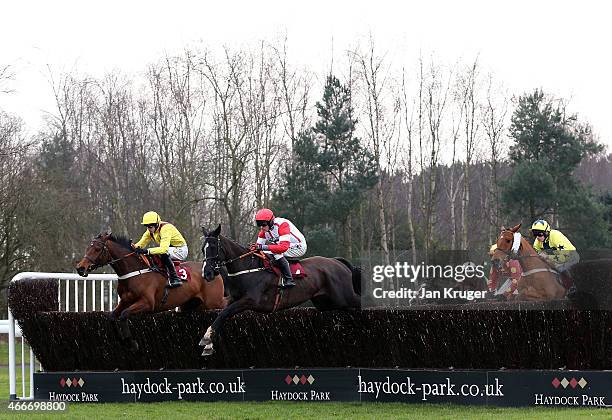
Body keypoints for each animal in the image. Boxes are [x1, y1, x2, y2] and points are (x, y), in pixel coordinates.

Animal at [75, 231, 226, 350]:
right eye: (88, 248)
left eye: (97, 249)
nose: (80, 268)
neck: (134, 272)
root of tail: (213, 270)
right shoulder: (125, 301)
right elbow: (112, 317)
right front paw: (122, 341)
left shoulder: (147, 303)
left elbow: (124, 315)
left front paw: (131, 343)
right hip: (191, 305)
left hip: (214, 302)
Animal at [198, 225, 360, 356]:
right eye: (202, 249)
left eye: (213, 247)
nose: (207, 273)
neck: (248, 268)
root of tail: (338, 262)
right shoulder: (233, 299)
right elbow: (221, 314)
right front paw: (209, 344)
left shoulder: (250, 300)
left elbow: (224, 313)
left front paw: (206, 339)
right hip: (325, 303)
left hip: (345, 297)